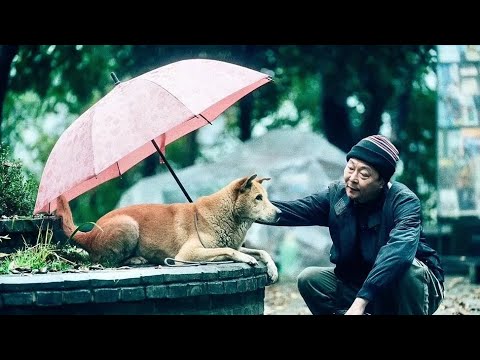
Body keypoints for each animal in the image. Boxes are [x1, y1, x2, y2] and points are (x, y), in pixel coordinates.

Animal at [56, 174, 282, 282]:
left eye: (266, 197)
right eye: (258, 198)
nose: (280, 213)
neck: (227, 216)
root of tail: (88, 233)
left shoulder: (236, 244)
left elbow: (261, 251)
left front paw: (272, 269)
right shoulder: (187, 254)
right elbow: (229, 250)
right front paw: (246, 258)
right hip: (129, 225)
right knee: (107, 261)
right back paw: (136, 259)